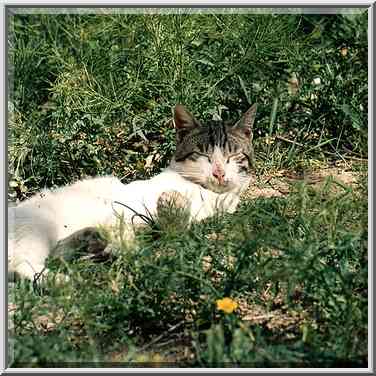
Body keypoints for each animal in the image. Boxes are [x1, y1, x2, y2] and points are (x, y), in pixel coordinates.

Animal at [8, 103, 258, 280]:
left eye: (234, 156)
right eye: (203, 155)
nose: (219, 173)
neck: (207, 193)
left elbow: (174, 227)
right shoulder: (123, 209)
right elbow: (125, 224)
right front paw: (125, 247)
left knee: (56, 254)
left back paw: (90, 240)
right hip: (38, 229)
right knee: (20, 265)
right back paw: (62, 281)